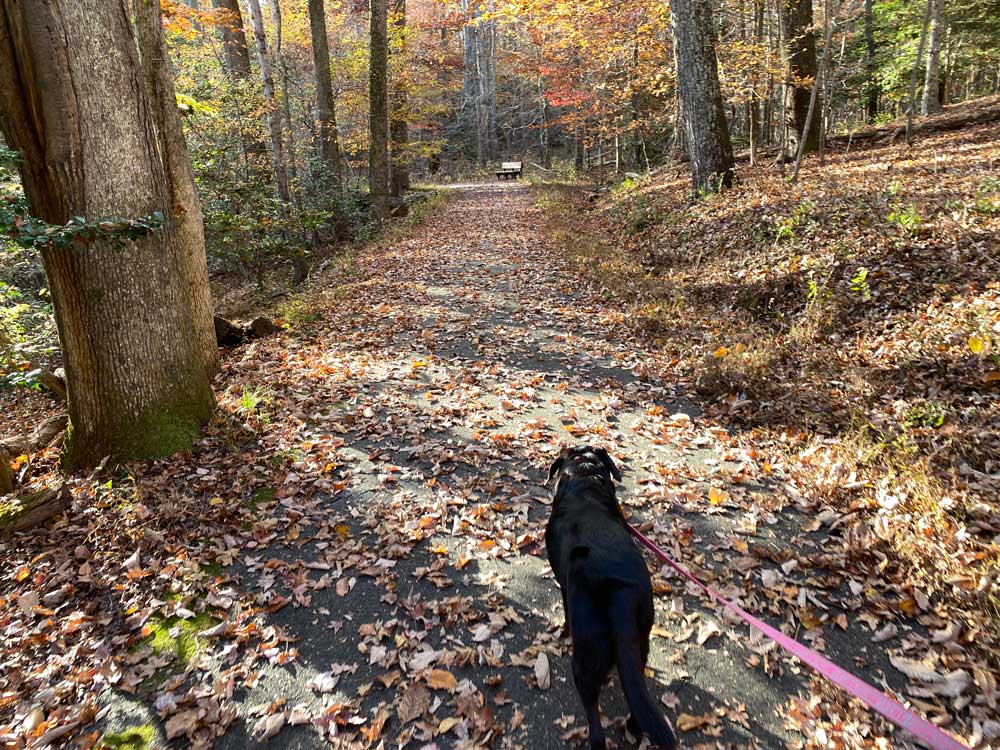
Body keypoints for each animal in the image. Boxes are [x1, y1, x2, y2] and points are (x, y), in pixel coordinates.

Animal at [544, 450, 676, 748]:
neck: (584, 477)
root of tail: (617, 598)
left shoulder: (564, 588)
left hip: (585, 659)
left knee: (595, 724)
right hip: (640, 643)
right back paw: (634, 728)